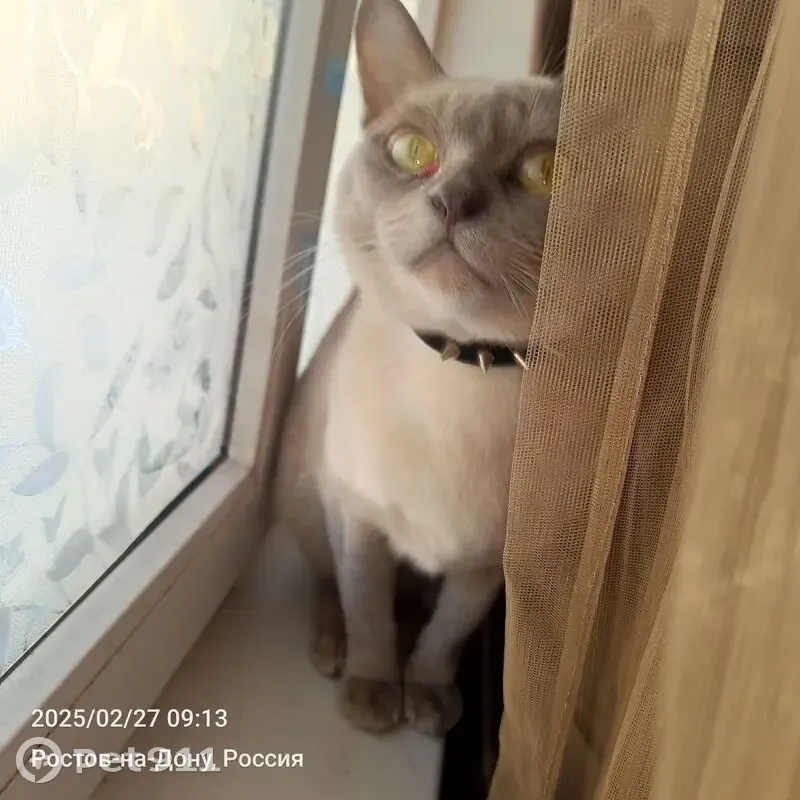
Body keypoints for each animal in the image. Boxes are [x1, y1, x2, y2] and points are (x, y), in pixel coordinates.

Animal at [271, 0, 561, 737]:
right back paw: (332, 650)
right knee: (331, 587)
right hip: (308, 498)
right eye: (414, 154)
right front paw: (374, 693)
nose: (454, 199)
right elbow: (368, 611)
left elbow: (446, 636)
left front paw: (427, 697)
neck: (462, 376)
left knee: (416, 613)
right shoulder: (361, 521)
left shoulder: (486, 566)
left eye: (545, 169)